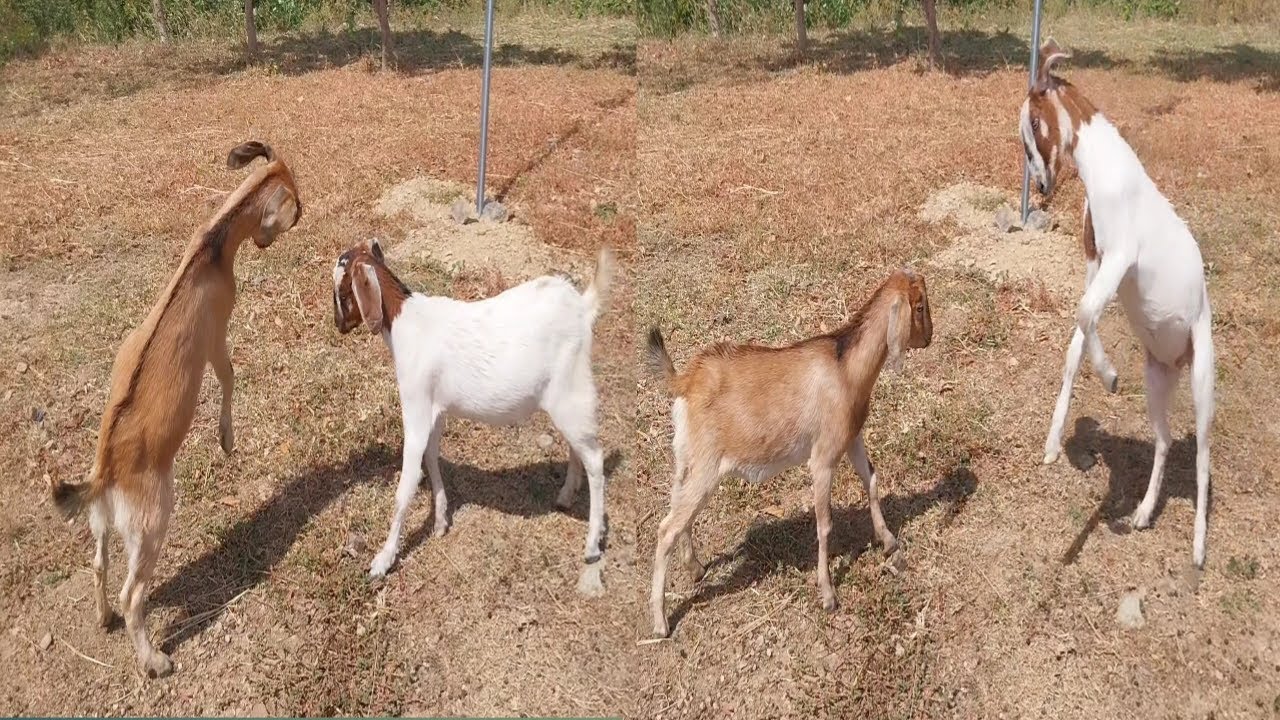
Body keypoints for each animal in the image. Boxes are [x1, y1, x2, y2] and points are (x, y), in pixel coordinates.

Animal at [49, 141, 302, 678]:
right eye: (294, 206)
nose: (294, 221)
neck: (212, 245)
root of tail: (106, 474)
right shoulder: (216, 336)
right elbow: (229, 376)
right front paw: (226, 439)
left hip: (103, 522)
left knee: (99, 564)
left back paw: (102, 617)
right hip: (151, 523)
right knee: (133, 595)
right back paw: (154, 659)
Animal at [332, 240, 615, 578]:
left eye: (342, 292)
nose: (337, 325)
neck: (405, 323)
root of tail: (582, 307)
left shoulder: (416, 402)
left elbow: (406, 484)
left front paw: (382, 560)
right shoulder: (437, 410)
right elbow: (432, 456)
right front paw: (441, 520)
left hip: (571, 391)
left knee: (595, 459)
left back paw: (593, 544)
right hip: (566, 398)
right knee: (578, 448)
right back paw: (566, 496)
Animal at [645, 268, 932, 637]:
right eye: (920, 306)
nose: (929, 338)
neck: (846, 369)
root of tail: (687, 380)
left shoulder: (851, 438)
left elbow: (872, 480)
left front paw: (890, 544)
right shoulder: (822, 457)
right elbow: (824, 524)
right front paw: (828, 594)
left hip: (687, 461)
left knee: (679, 511)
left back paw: (695, 568)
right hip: (706, 466)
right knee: (666, 528)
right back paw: (660, 622)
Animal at [1021, 39, 1216, 567]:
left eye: (1035, 123)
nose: (1041, 186)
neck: (1109, 172)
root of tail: (1179, 358)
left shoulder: (1122, 257)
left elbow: (1084, 313)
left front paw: (1108, 376)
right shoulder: (1097, 260)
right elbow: (1074, 339)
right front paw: (1052, 442)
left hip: (1203, 374)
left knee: (1203, 456)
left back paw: (1197, 549)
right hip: (1156, 377)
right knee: (1165, 441)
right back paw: (1144, 513)